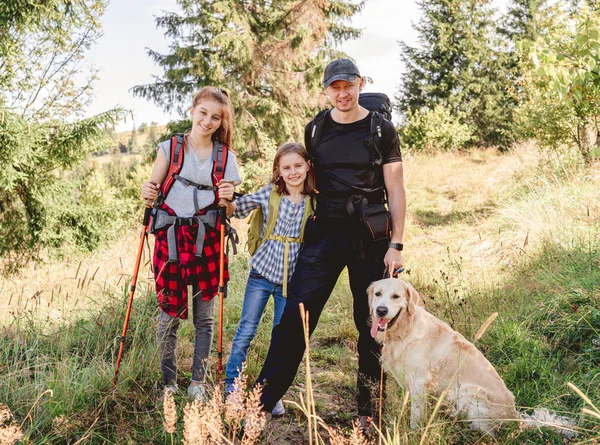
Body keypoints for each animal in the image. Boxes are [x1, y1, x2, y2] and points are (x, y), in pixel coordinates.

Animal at [368, 278, 516, 434]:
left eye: (396, 296)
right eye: (377, 294)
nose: (381, 310)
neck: (405, 330)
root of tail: (515, 417)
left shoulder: (419, 382)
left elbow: (415, 415)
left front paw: (413, 433)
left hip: (463, 392)